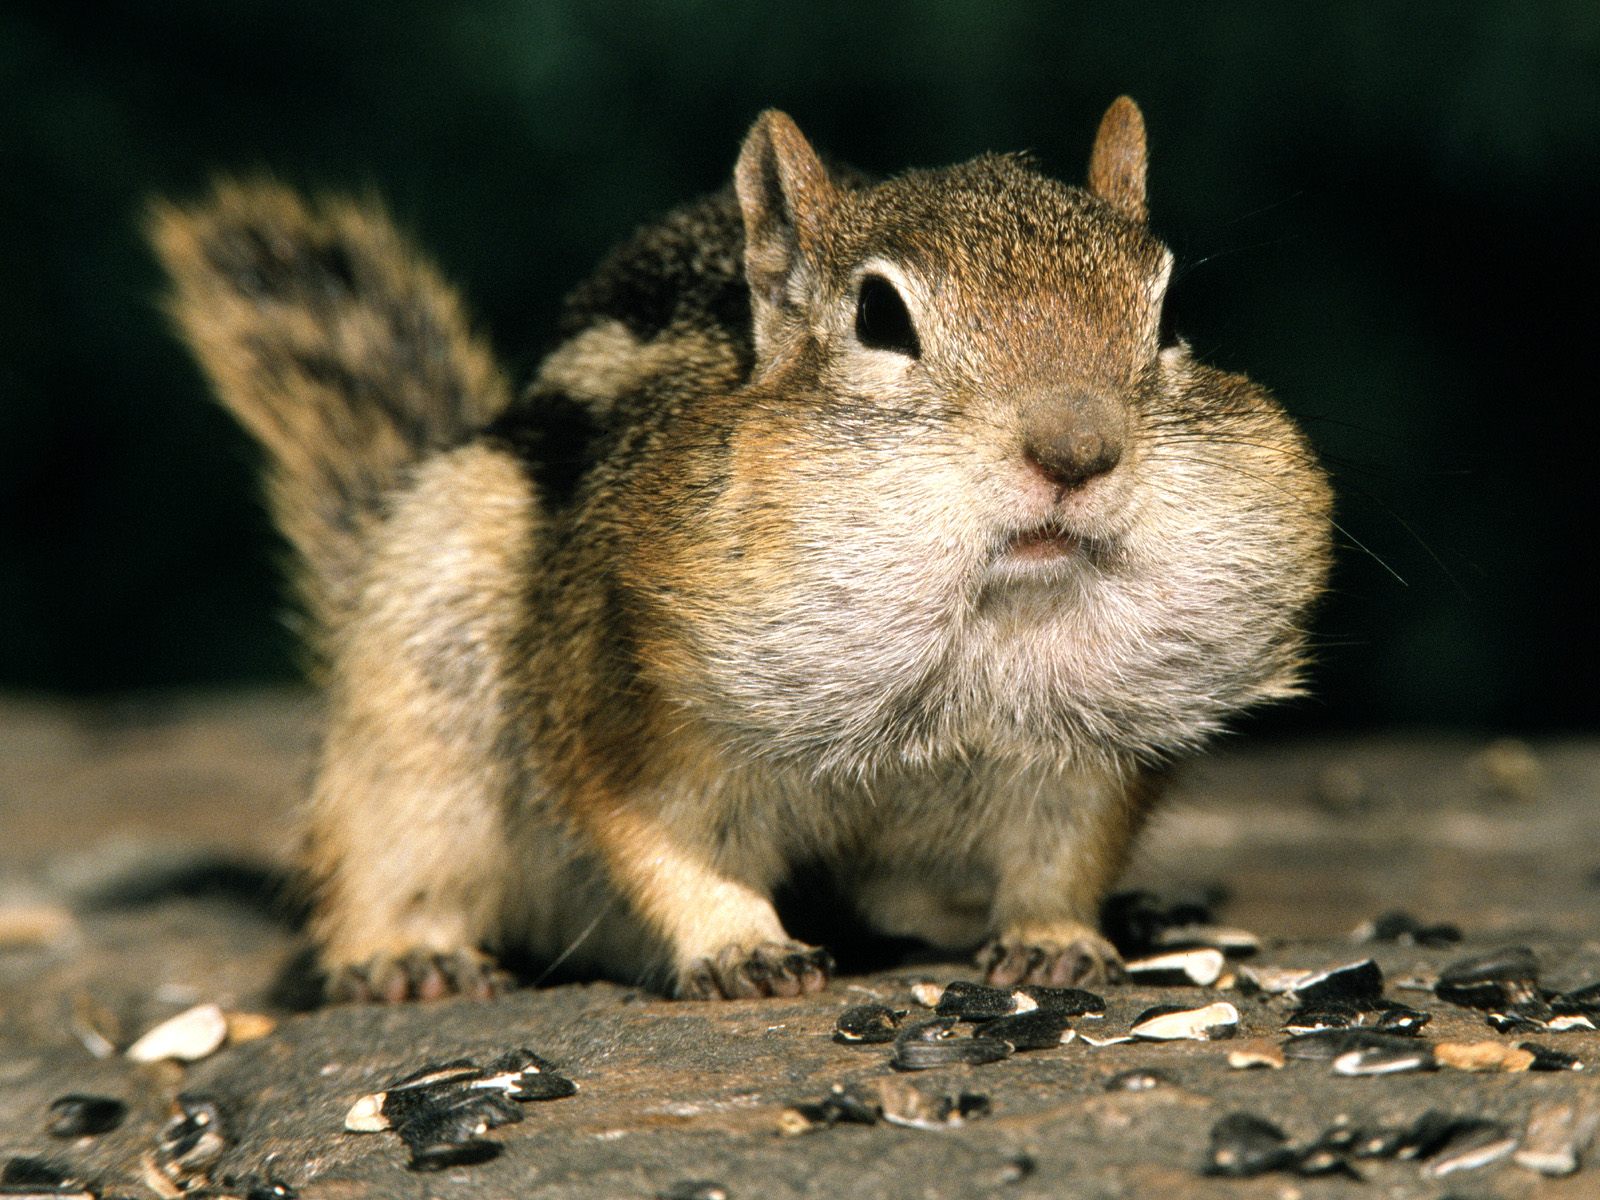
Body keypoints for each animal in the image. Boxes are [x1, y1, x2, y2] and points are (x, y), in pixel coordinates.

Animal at [149, 97, 1332, 1002]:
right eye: (880, 318)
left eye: (1168, 315)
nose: (1077, 452)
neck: (984, 618)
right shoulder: (622, 704)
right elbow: (662, 836)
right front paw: (739, 946)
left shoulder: (1086, 751)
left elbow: (1063, 849)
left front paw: (1058, 938)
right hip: (414, 698)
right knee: (385, 852)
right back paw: (406, 956)